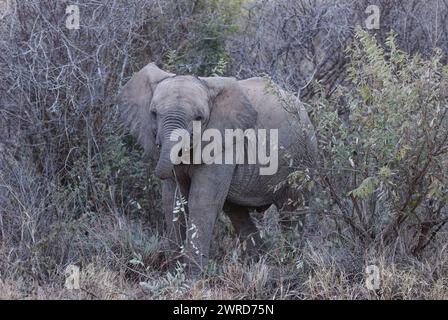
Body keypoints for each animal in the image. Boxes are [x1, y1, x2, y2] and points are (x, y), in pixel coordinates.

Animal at [117, 62, 316, 276]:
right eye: (153, 113)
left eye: (199, 118)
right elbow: (173, 200)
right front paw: (174, 272)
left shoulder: (225, 144)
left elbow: (201, 201)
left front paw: (193, 277)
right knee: (237, 212)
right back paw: (258, 262)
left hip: (303, 156)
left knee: (292, 211)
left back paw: (291, 265)